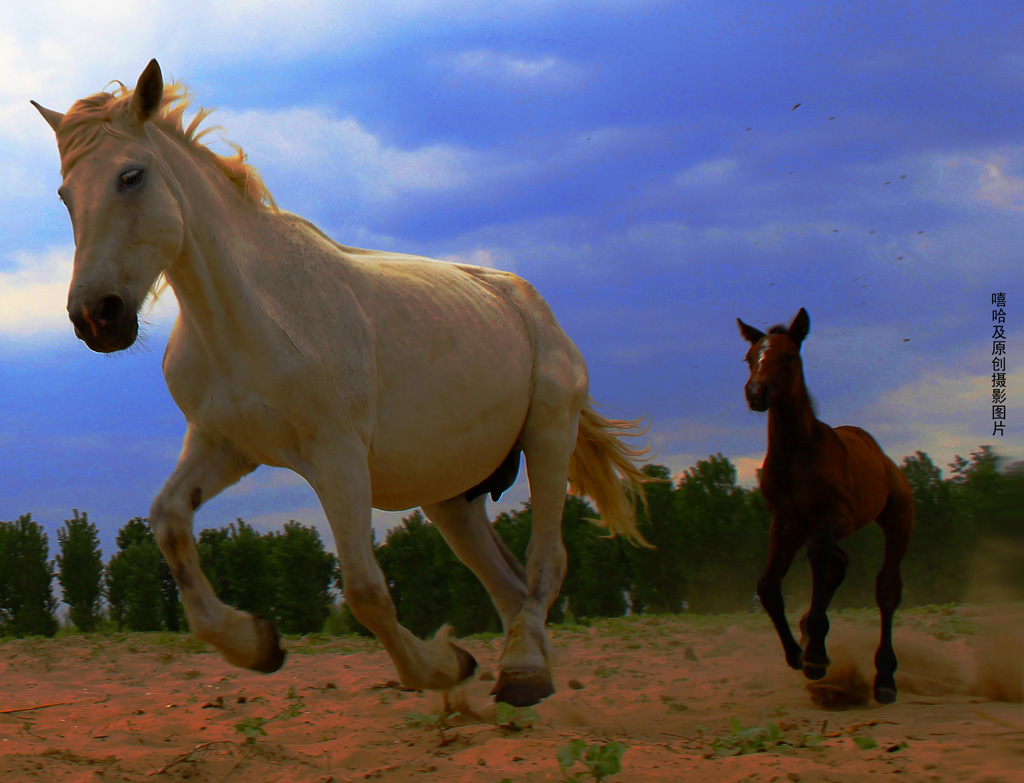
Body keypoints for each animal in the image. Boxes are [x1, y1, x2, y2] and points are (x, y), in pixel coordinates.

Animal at [34, 61, 647, 704]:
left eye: (131, 176)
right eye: (65, 195)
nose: (95, 317)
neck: (254, 317)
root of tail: (526, 301)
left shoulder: (339, 458)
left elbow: (365, 589)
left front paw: (438, 667)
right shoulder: (225, 446)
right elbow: (169, 523)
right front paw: (256, 643)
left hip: (549, 438)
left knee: (545, 561)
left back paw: (524, 673)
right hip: (452, 496)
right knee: (508, 587)